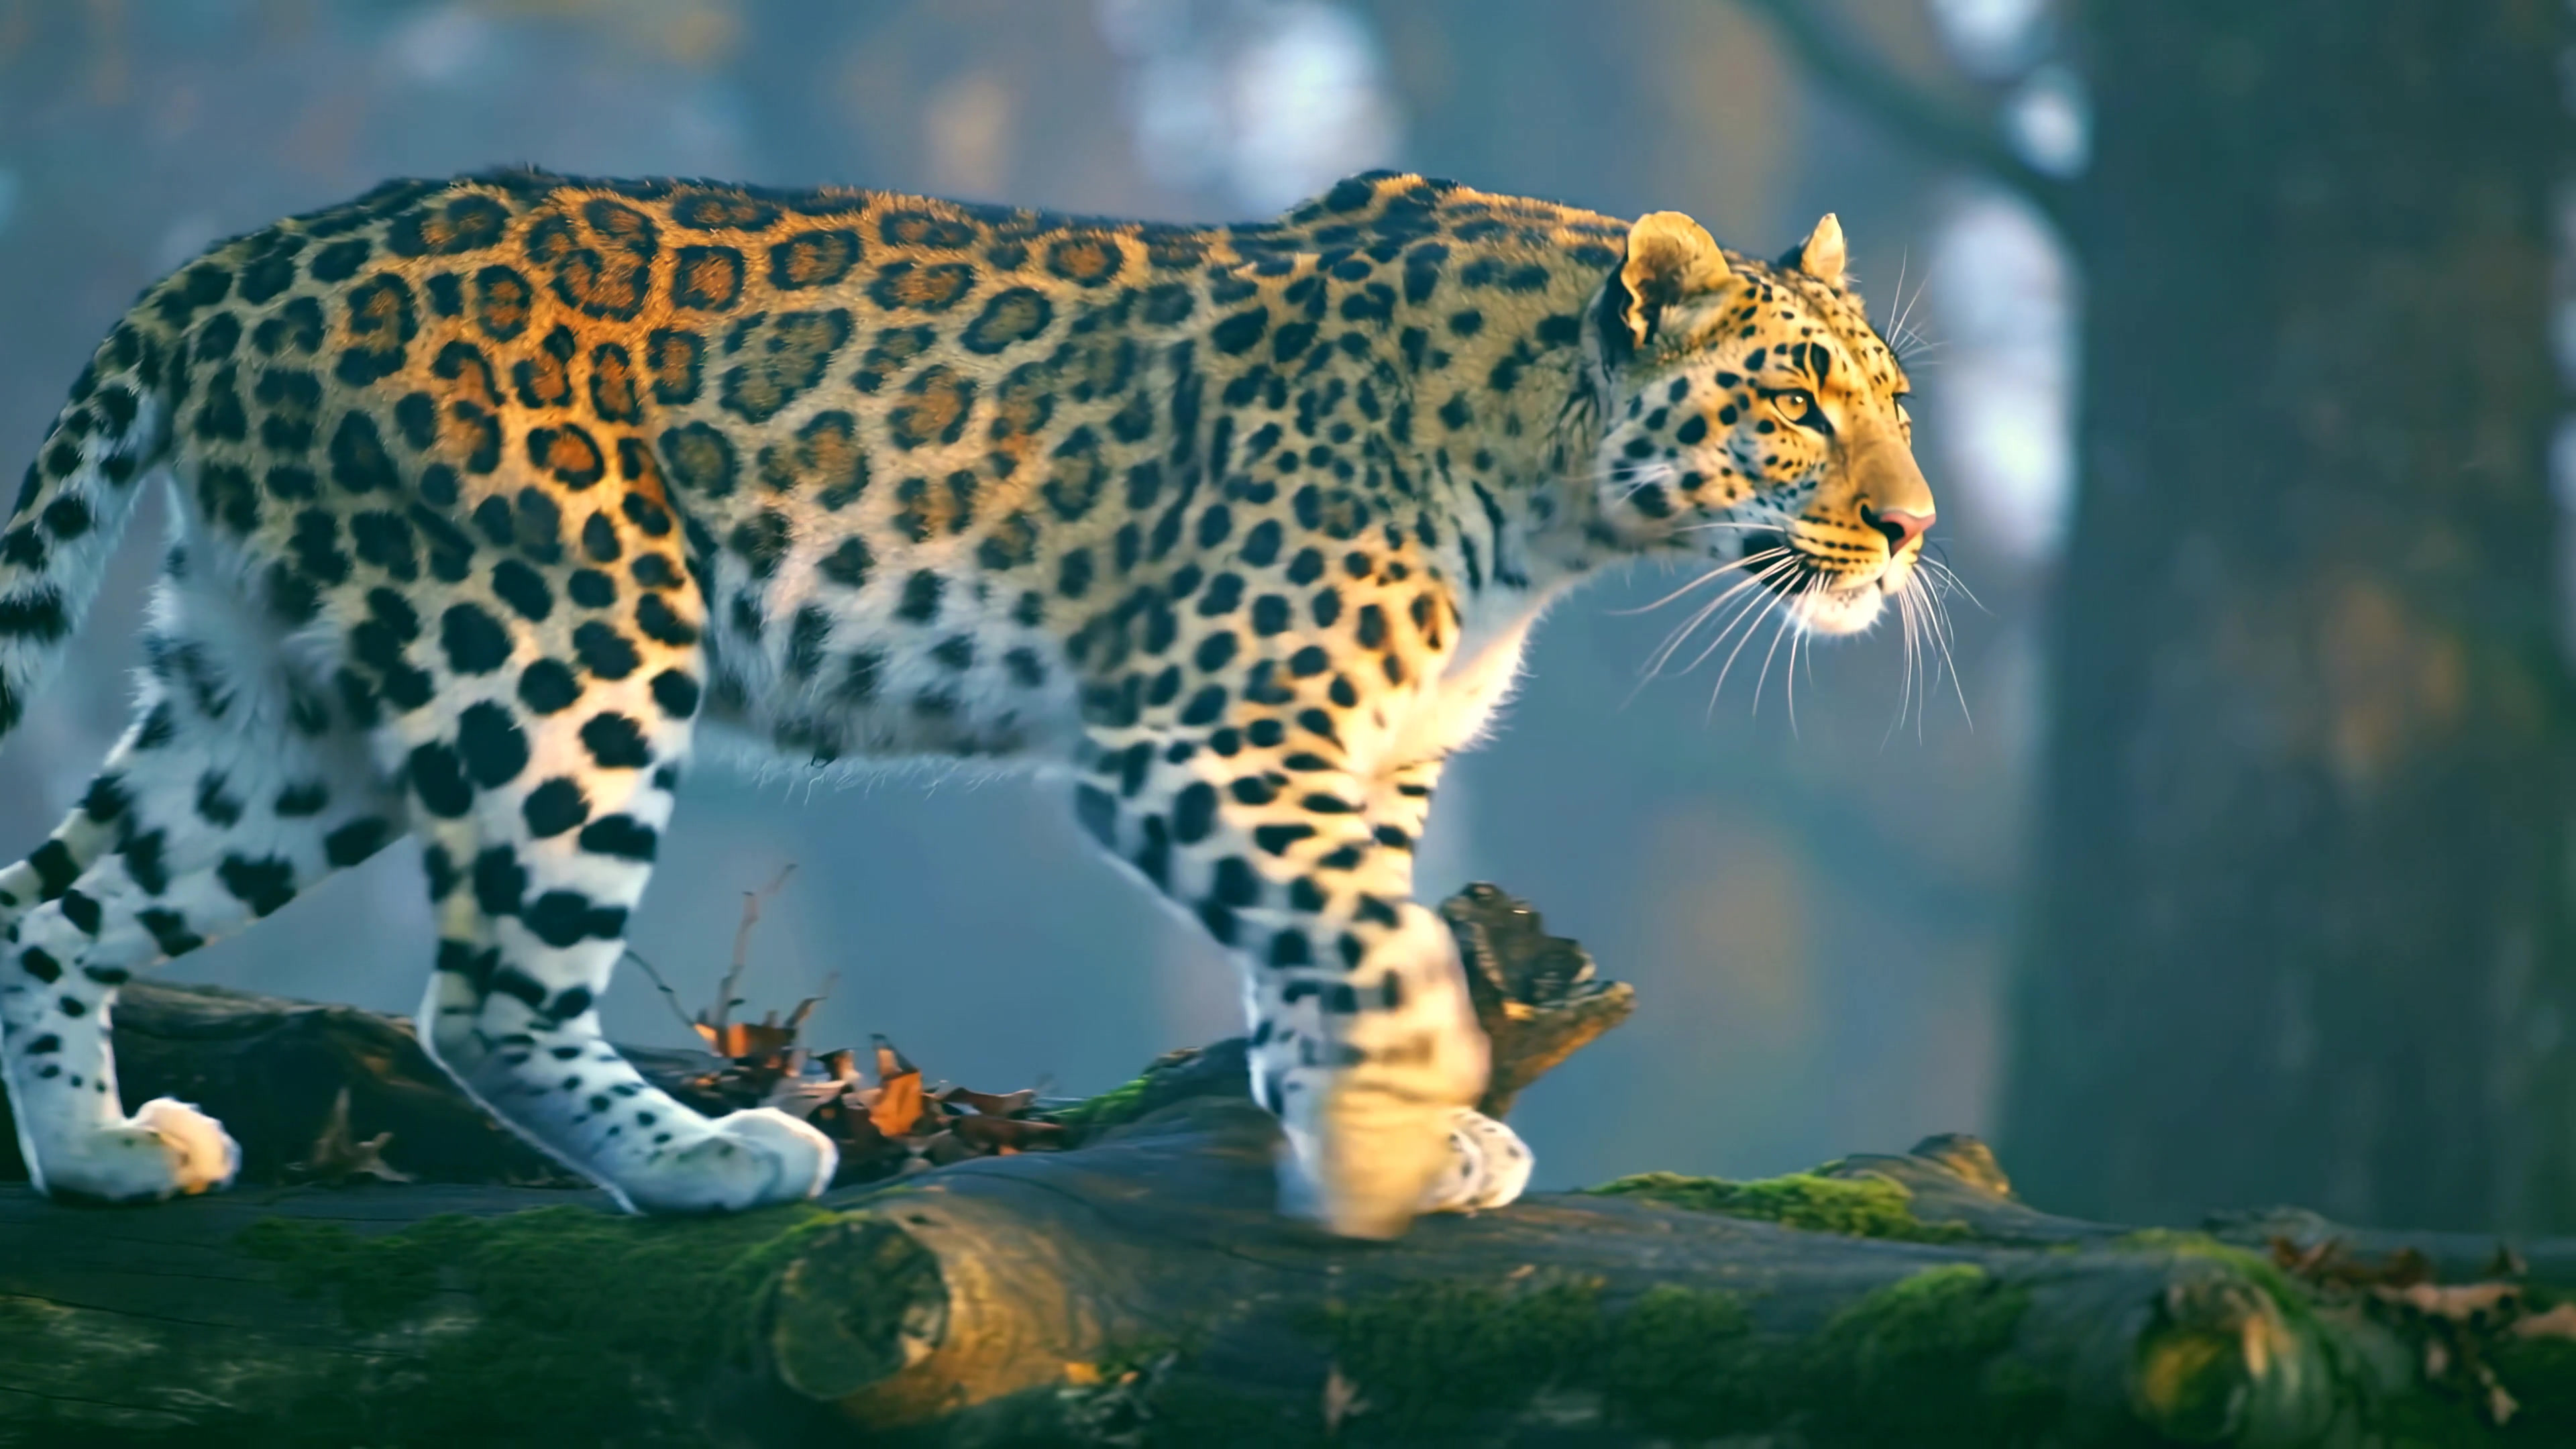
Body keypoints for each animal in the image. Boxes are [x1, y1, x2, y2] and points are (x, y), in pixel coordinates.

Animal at [0, 167, 1931, 1238]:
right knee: (482, 1003)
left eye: (1896, 399)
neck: (1556, 494)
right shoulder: (1201, 737)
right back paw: (709, 1163)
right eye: (1795, 400)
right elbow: (1383, 956)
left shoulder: (1360, 764)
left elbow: (1331, 948)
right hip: (567, 645)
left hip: (278, 709)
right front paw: (1391, 1145)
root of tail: (238, 261)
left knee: (48, 899)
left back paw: (98, 1155)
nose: (1915, 527)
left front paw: (1368, 1125)